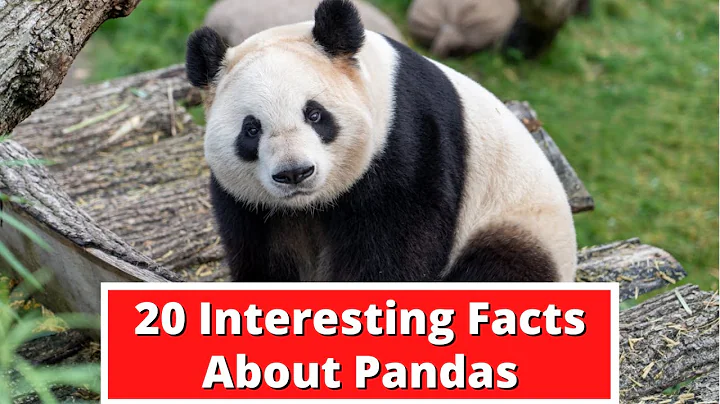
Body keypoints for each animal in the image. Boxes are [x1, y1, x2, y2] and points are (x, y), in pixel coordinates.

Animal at [186, 0, 577, 283]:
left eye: (314, 114)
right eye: (251, 129)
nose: (294, 173)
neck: (309, 205)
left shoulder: (406, 141)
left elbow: (394, 249)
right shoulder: (249, 204)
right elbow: (263, 257)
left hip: (519, 222)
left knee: (501, 267)